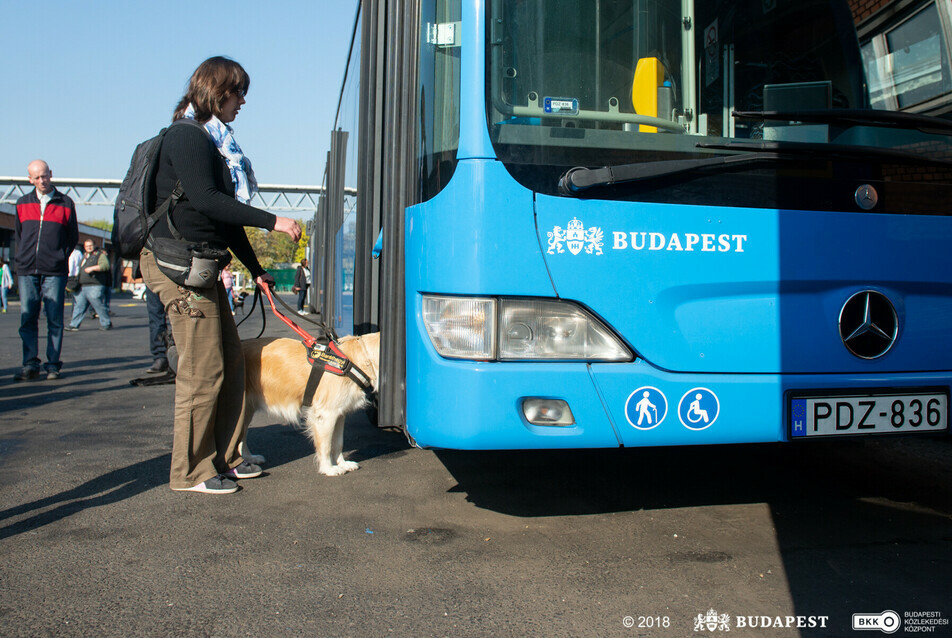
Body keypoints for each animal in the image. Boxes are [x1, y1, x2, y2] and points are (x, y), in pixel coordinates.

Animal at [238, 336, 380, 476]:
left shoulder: (339, 413)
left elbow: (338, 443)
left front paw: (343, 464)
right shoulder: (325, 415)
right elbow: (326, 446)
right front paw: (328, 468)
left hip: (246, 410)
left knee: (242, 436)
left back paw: (249, 458)